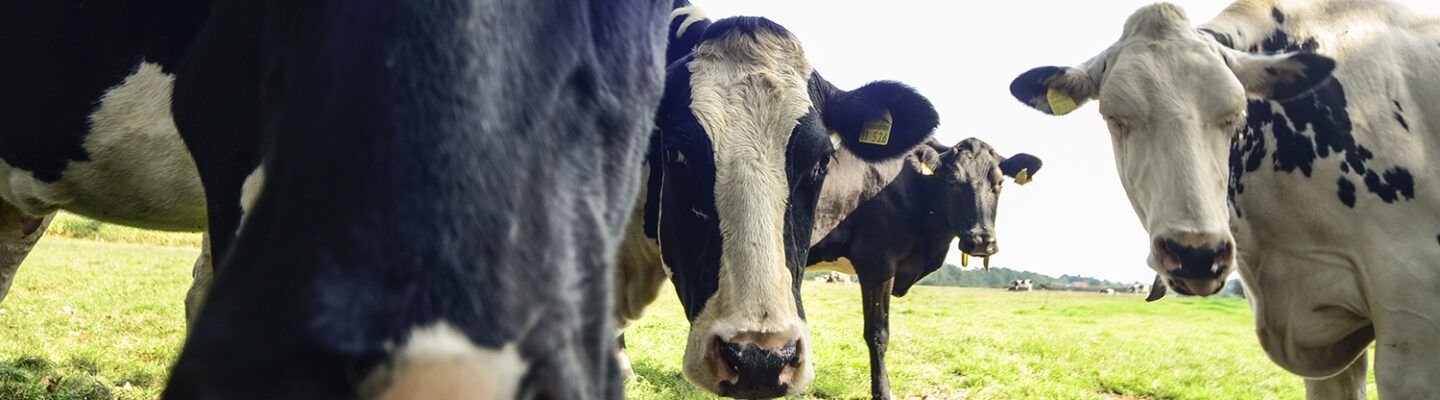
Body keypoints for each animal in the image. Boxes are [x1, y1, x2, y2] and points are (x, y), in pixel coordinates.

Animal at [805, 137, 1040, 399]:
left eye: (999, 182)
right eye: (952, 180)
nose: (981, 240)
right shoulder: (877, 261)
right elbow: (877, 333)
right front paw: (883, 392)